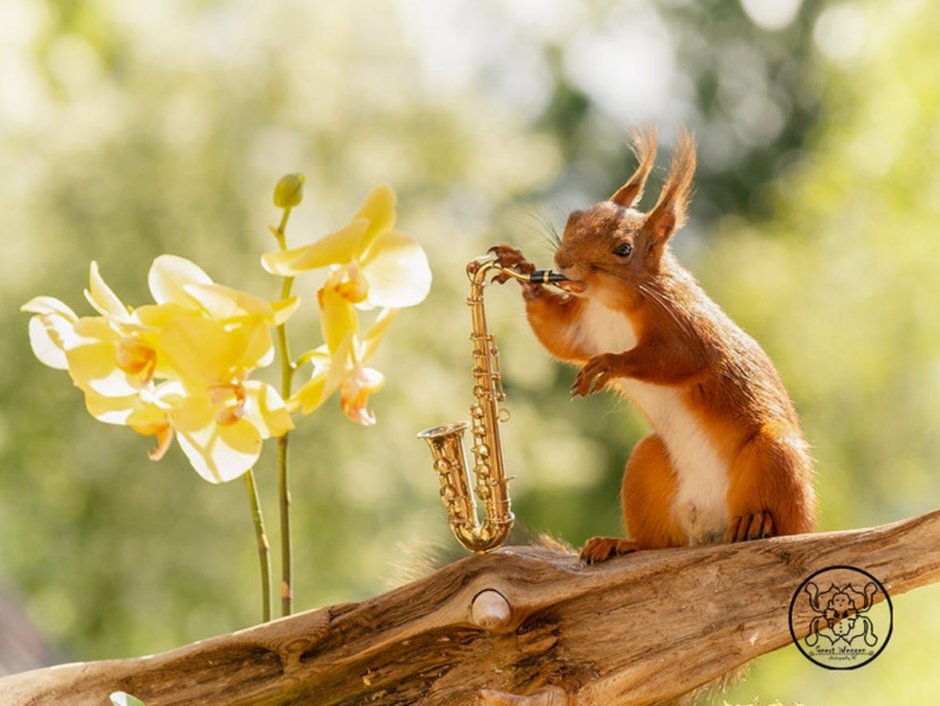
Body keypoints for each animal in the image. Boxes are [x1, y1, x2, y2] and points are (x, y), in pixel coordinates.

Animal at [492, 129, 816, 564]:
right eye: (574, 217)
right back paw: (618, 543)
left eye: (623, 249)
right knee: (659, 542)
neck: (611, 303)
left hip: (775, 454)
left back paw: (756, 523)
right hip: (647, 465)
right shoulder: (585, 327)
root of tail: (711, 529)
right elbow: (558, 338)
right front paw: (522, 270)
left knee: (785, 520)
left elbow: (675, 359)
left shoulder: (688, 328)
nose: (563, 261)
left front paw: (609, 364)